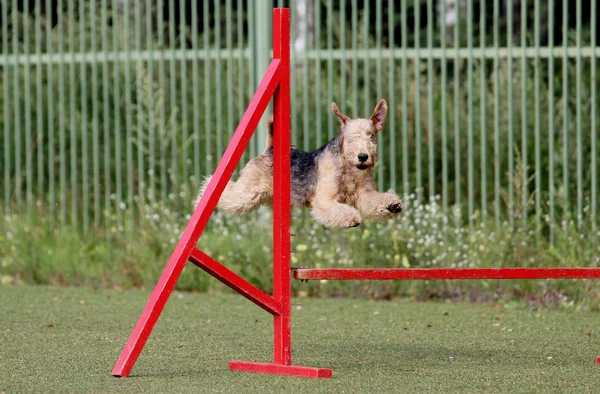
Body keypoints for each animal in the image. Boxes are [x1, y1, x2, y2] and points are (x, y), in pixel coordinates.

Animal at [197, 98, 404, 228]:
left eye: (371, 136)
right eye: (350, 138)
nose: (363, 157)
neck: (348, 168)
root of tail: (270, 149)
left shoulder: (364, 194)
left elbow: (374, 200)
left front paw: (392, 205)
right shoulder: (325, 199)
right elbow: (338, 209)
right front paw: (352, 217)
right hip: (248, 193)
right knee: (227, 192)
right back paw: (206, 190)